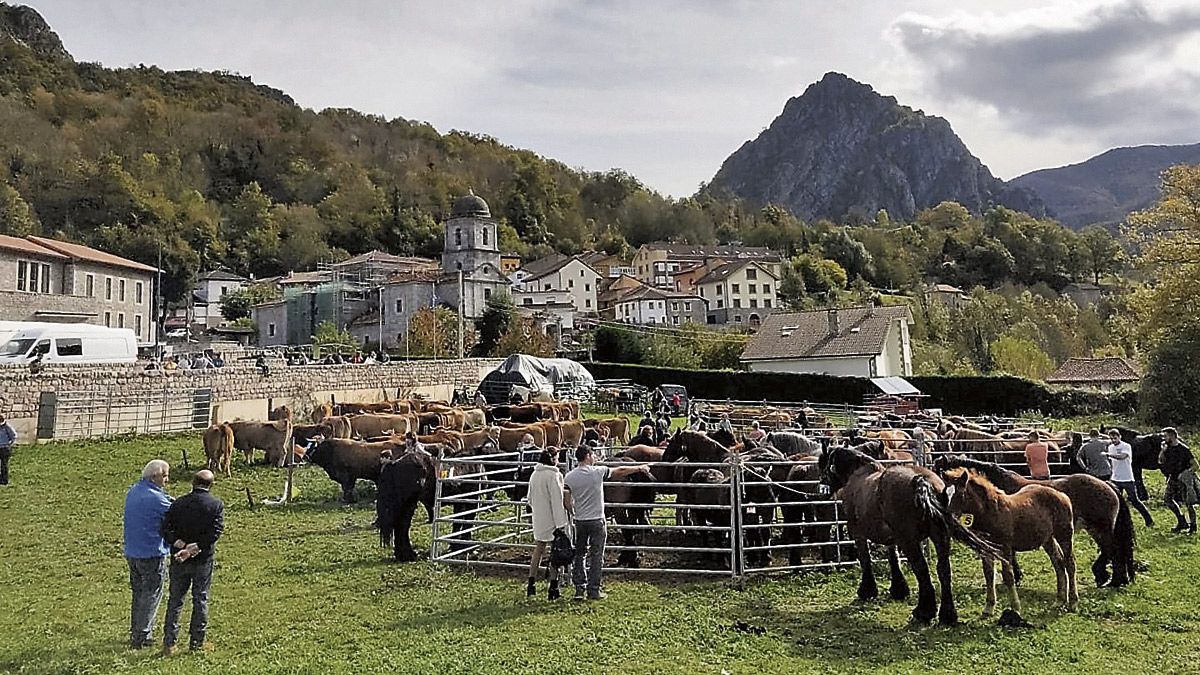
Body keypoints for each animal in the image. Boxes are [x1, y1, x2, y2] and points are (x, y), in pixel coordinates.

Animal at [816, 444, 1003, 624]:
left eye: (823, 463)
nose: (822, 485)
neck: (857, 474)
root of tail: (921, 481)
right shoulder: (892, 538)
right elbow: (893, 557)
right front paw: (898, 589)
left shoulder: (857, 533)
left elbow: (865, 559)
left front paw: (867, 590)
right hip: (940, 536)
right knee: (943, 569)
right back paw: (947, 615)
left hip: (910, 541)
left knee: (921, 569)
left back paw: (924, 611)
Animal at [936, 454, 1132, 586]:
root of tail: (1108, 485)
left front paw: (1016, 576)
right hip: (1095, 529)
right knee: (1111, 551)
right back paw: (1113, 578)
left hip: (1100, 528)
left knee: (1112, 550)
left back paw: (1110, 578)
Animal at [940, 468, 1084, 614]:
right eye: (944, 493)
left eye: (960, 493)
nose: (947, 517)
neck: (992, 513)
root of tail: (1062, 495)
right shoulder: (985, 549)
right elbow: (988, 574)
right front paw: (989, 607)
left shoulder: (1005, 548)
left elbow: (1008, 576)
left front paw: (1015, 607)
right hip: (1048, 539)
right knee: (1058, 563)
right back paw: (1059, 600)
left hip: (1064, 534)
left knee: (1070, 563)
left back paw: (1073, 602)